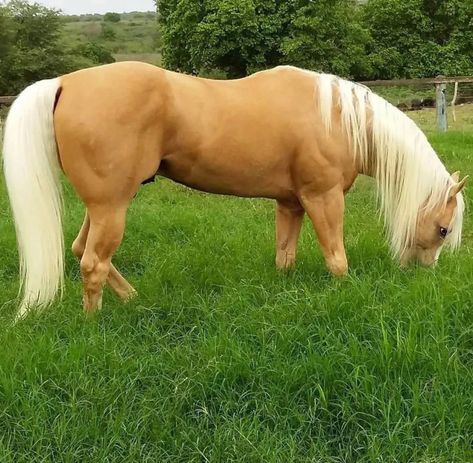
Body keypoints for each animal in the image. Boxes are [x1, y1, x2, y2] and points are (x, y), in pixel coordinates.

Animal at [1, 61, 466, 320]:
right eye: (443, 229)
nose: (425, 273)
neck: (335, 116)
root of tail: (64, 82)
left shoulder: (290, 204)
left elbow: (285, 256)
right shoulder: (323, 197)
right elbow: (337, 259)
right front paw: (346, 294)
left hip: (101, 206)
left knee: (82, 250)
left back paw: (132, 299)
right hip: (111, 206)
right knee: (93, 263)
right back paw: (94, 326)